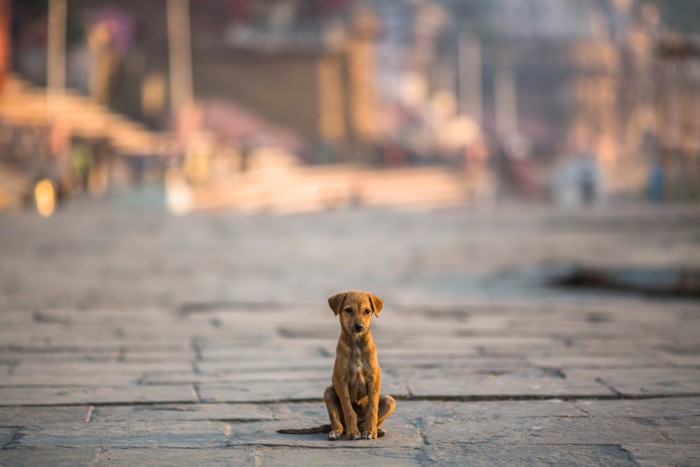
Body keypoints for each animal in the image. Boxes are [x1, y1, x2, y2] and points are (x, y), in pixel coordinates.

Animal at [278, 290, 394, 440]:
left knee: (367, 419)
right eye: (348, 310)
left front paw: (370, 431)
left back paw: (373, 430)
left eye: (367, 311)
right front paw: (353, 433)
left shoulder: (374, 379)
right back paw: (337, 432)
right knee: (338, 424)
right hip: (328, 393)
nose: (359, 327)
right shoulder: (341, 380)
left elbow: (372, 409)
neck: (356, 344)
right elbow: (348, 409)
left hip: (389, 400)